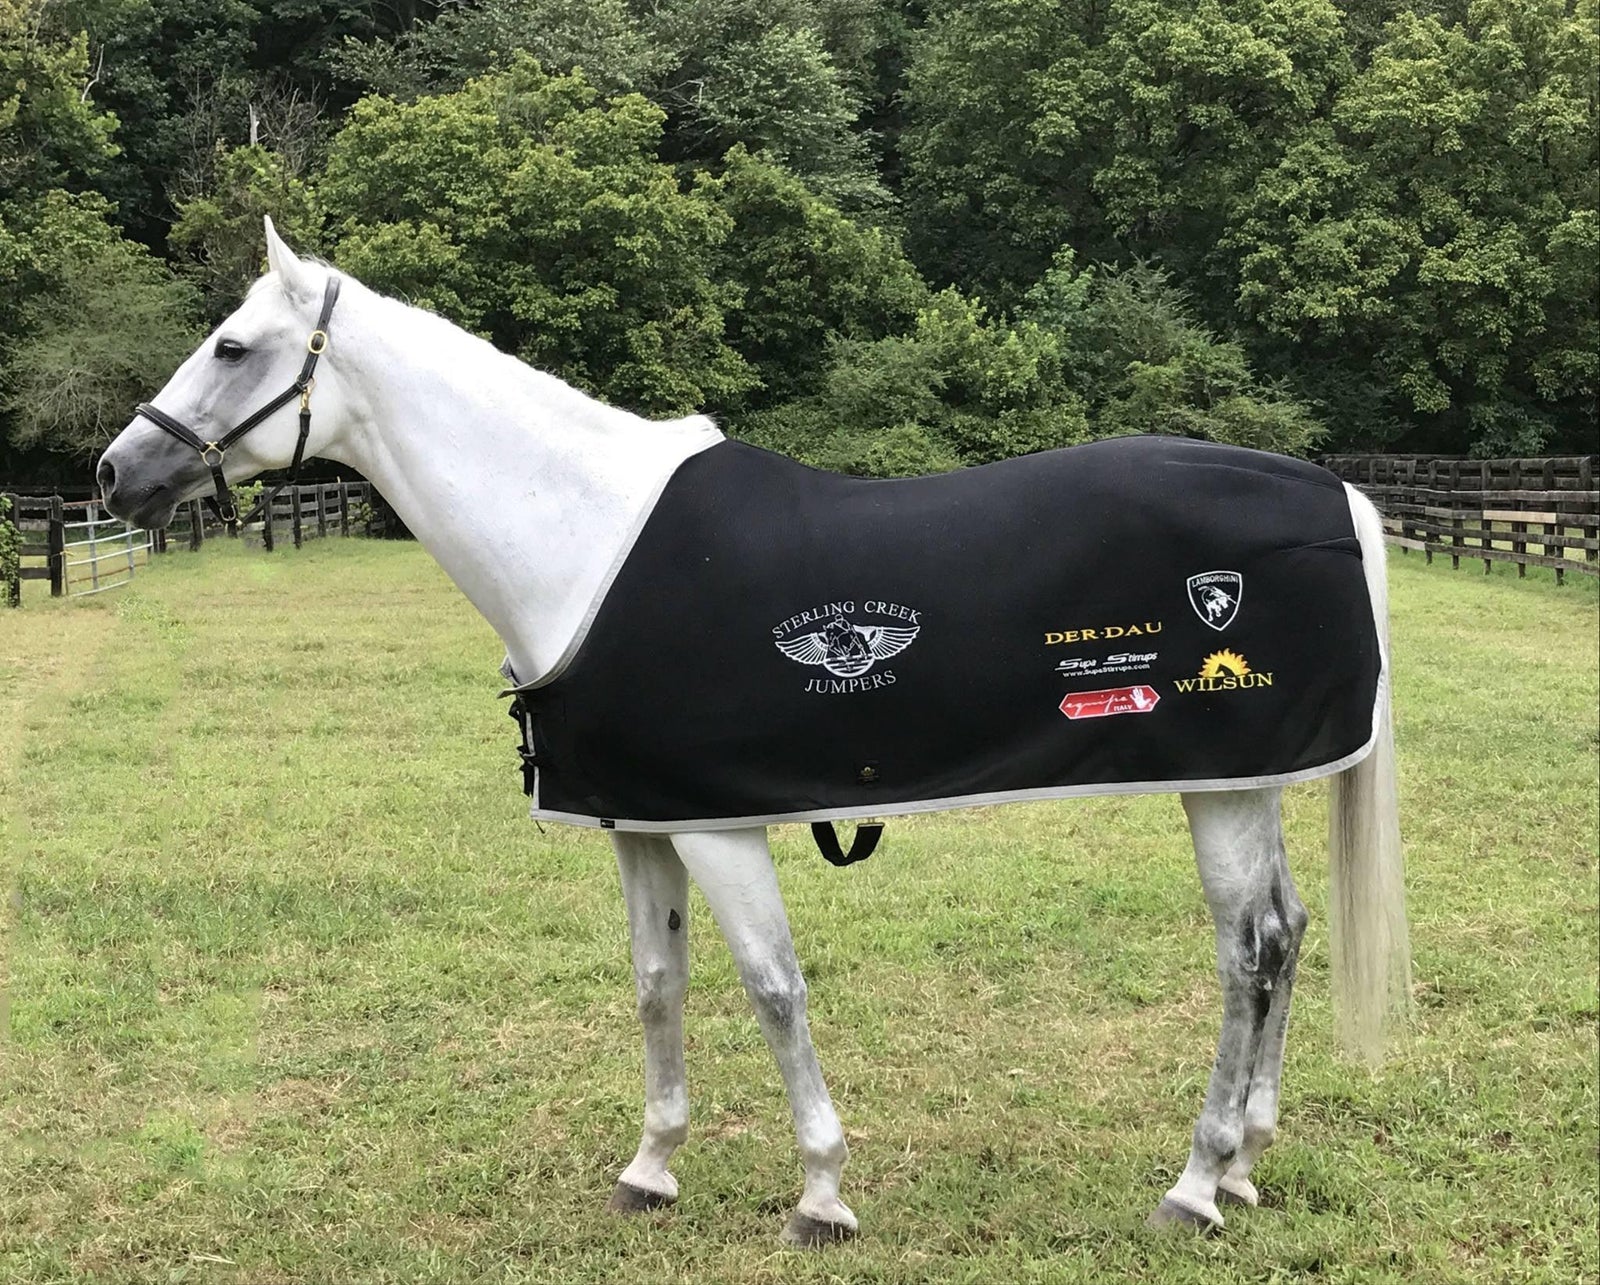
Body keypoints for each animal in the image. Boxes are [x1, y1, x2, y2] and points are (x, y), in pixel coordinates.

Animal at [97, 220, 1410, 1243]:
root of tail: (1334, 497)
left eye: (232, 346)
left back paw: (1193, 1182)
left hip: (1222, 786)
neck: (583, 543)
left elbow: (773, 986)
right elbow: (656, 984)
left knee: (1246, 953)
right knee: (1288, 932)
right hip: (1250, 781)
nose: (117, 473)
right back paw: (1245, 1163)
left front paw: (821, 1193)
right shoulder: (640, 820)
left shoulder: (720, 823)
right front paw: (651, 1168)